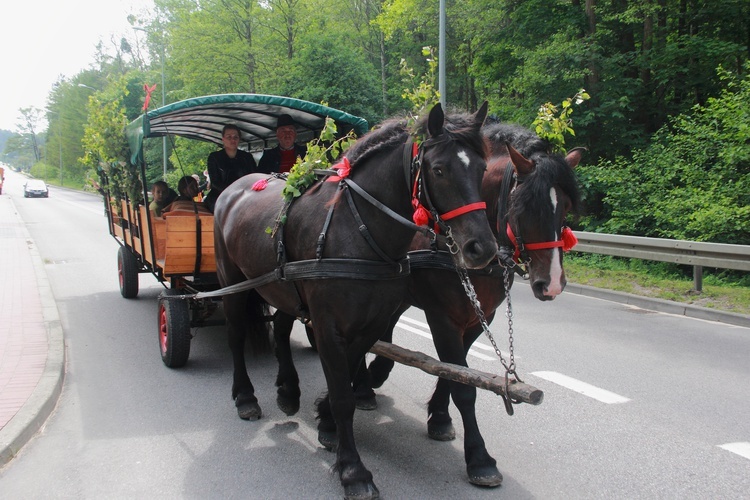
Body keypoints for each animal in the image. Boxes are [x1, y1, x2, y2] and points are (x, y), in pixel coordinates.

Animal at [214, 102, 496, 500]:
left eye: (482, 169)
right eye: (439, 169)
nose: (481, 248)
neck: (356, 229)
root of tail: (234, 189)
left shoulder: (369, 324)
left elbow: (345, 381)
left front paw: (327, 424)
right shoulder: (329, 326)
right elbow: (344, 396)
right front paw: (353, 470)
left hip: (282, 287)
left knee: (282, 328)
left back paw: (288, 390)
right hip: (233, 284)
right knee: (237, 336)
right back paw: (245, 397)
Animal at [350, 122, 584, 488]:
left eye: (565, 208)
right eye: (524, 207)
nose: (553, 283)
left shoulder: (477, 318)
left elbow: (456, 372)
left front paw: (440, 418)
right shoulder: (442, 318)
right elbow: (463, 386)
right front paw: (479, 458)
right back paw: (364, 385)